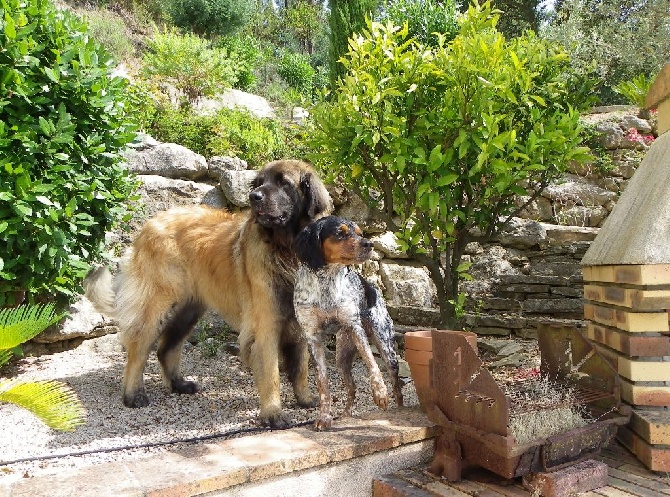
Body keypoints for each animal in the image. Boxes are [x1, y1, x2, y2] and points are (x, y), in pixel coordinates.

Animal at [85, 159, 332, 426]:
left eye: (283, 183)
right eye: (258, 183)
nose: (253, 197)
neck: (285, 249)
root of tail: (150, 224)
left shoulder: (300, 322)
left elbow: (301, 367)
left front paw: (305, 399)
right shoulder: (266, 324)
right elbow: (271, 373)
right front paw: (273, 414)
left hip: (188, 310)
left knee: (166, 348)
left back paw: (179, 385)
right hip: (157, 306)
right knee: (138, 350)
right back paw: (133, 396)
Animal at [294, 215, 404, 428]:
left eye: (360, 233)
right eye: (340, 233)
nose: (369, 244)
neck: (326, 283)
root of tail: (373, 288)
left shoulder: (354, 327)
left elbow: (371, 362)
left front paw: (380, 393)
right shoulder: (313, 337)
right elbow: (322, 383)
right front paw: (325, 417)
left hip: (386, 347)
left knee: (396, 384)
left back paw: (399, 408)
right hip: (341, 358)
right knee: (352, 387)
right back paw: (345, 415)